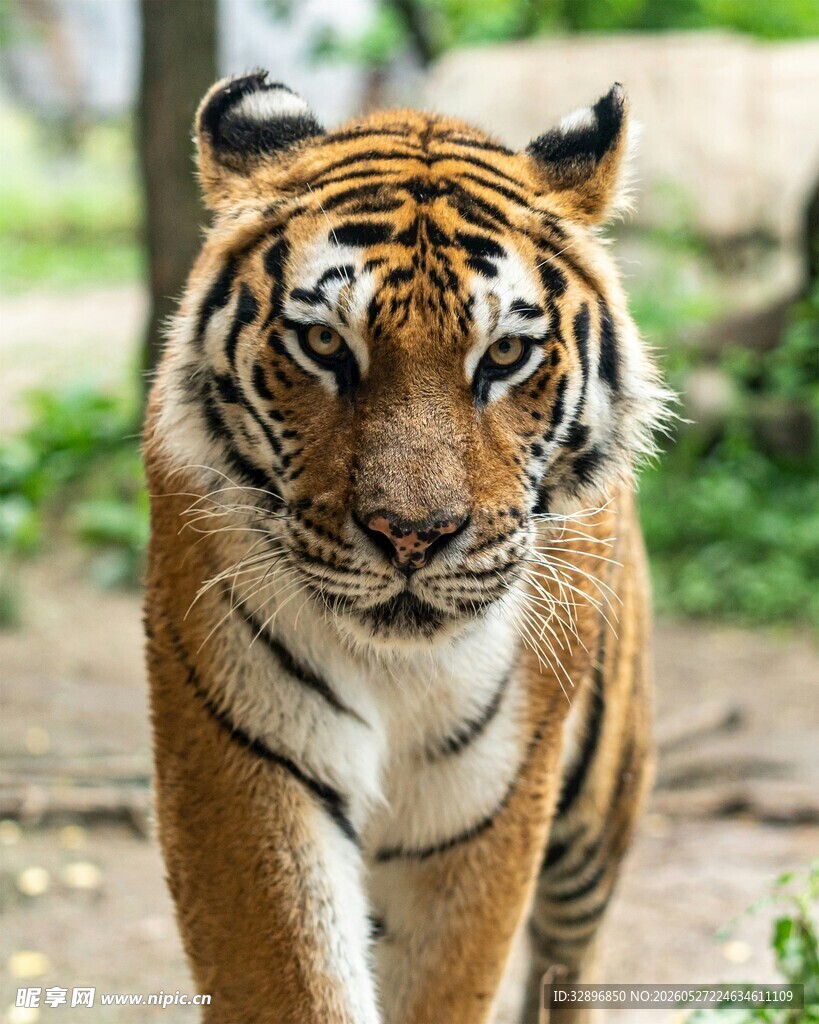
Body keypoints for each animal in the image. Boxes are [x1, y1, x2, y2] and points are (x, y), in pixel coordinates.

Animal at [142, 70, 669, 1024]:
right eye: (323, 343)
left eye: (504, 354)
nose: (411, 536)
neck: (397, 668)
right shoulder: (245, 760)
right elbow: (293, 977)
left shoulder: (486, 800)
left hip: (596, 807)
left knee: (567, 961)